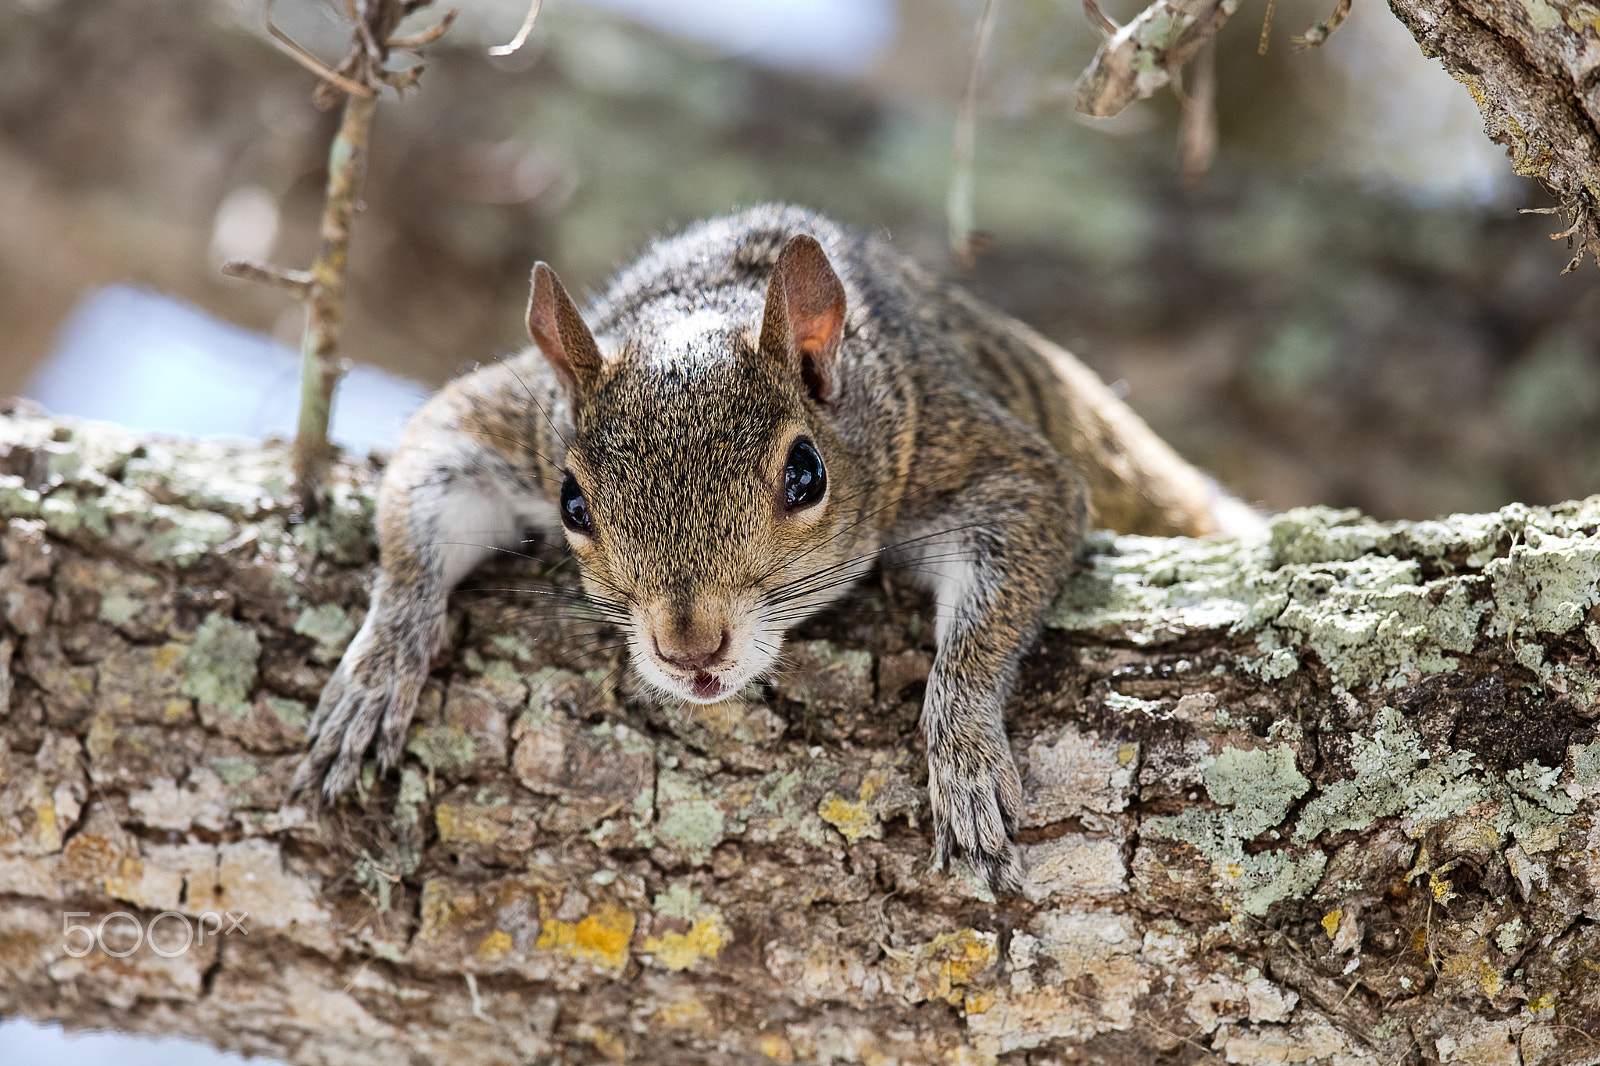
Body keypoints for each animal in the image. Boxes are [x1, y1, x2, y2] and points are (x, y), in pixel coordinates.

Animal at [294, 201, 1254, 889]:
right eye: (572, 500)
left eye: (806, 475)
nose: (690, 649)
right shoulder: (515, 422)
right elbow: (420, 507)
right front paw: (376, 674)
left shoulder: (973, 455)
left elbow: (996, 601)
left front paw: (965, 757)